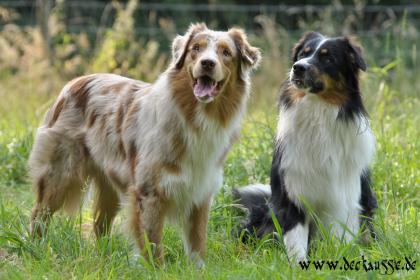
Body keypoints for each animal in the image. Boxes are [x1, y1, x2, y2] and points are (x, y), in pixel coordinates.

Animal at [28, 23, 260, 266]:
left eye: (226, 53)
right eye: (196, 48)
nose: (207, 63)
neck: (194, 118)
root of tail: (74, 82)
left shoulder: (200, 192)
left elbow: (197, 242)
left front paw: (198, 268)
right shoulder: (149, 193)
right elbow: (153, 242)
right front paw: (156, 269)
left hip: (110, 184)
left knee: (99, 225)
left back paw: (104, 258)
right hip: (59, 174)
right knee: (39, 214)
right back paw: (36, 248)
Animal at [236, 31, 378, 262]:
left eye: (328, 58)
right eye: (303, 53)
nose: (298, 67)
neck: (317, 109)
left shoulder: (345, 194)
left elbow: (341, 237)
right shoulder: (291, 193)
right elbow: (296, 241)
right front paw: (298, 264)